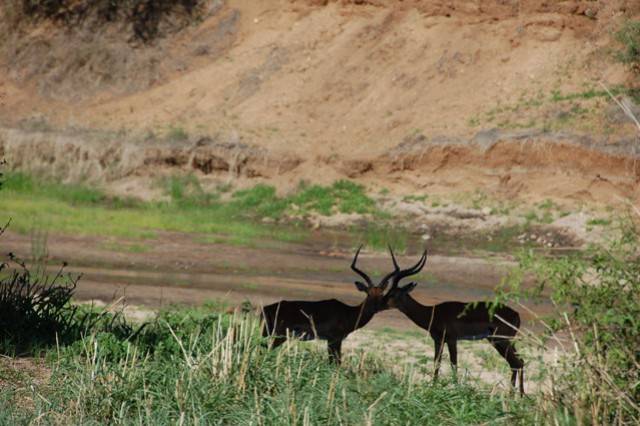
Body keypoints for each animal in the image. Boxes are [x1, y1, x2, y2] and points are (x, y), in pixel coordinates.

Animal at [260, 246, 390, 362]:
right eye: (368, 293)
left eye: (382, 294)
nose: (376, 307)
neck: (349, 312)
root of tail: (266, 309)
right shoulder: (334, 340)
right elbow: (335, 362)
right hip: (278, 336)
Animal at [380, 248, 524, 394]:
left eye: (392, 294)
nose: (379, 303)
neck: (432, 313)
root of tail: (516, 314)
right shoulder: (438, 340)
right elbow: (436, 363)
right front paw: (433, 388)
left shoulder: (452, 339)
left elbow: (453, 364)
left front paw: (456, 391)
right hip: (500, 341)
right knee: (518, 362)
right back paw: (517, 395)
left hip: (501, 340)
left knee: (517, 362)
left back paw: (516, 395)